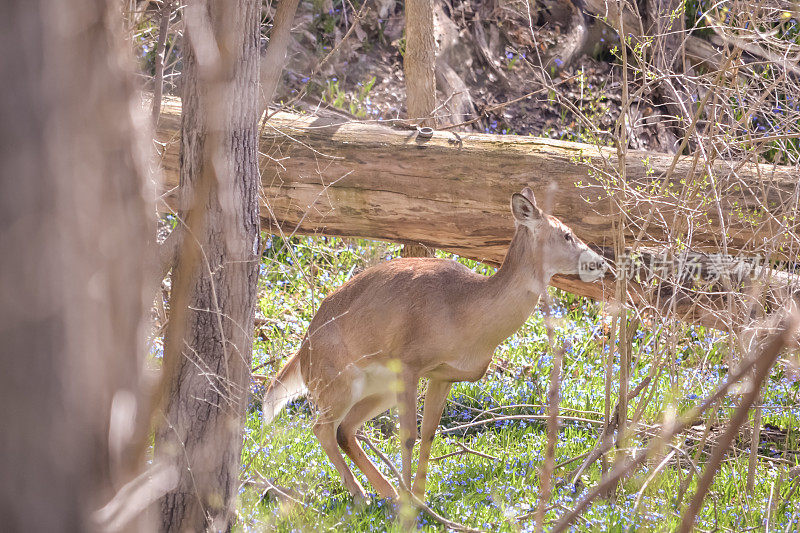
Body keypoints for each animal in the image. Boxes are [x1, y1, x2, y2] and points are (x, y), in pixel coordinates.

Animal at [262, 188, 608, 502]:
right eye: (566, 234)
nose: (601, 262)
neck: (465, 313)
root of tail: (303, 350)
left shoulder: (443, 375)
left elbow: (428, 434)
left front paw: (419, 498)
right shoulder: (408, 362)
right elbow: (407, 436)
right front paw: (410, 503)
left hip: (377, 388)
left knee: (344, 429)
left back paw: (385, 491)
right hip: (338, 380)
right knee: (321, 427)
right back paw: (362, 495)